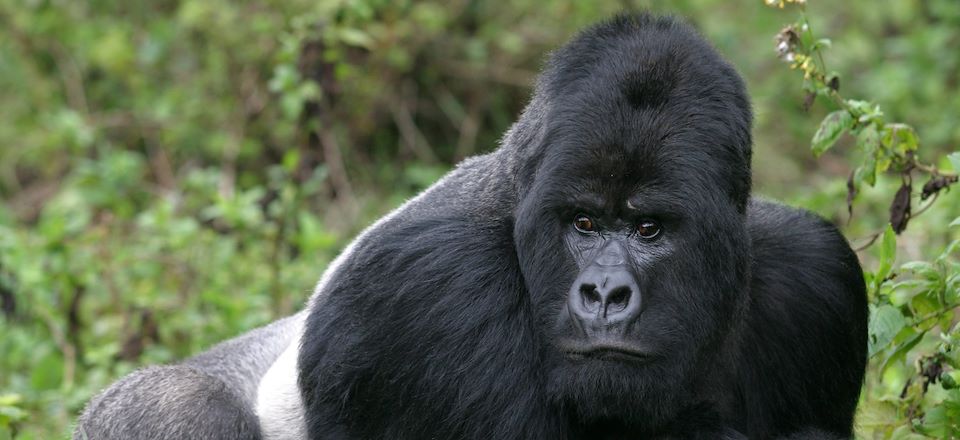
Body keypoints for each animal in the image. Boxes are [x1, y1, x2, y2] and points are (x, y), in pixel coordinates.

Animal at [77, 13, 872, 440]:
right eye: (583, 222)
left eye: (650, 230)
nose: (604, 295)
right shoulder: (430, 289)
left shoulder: (816, 277)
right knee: (182, 406)